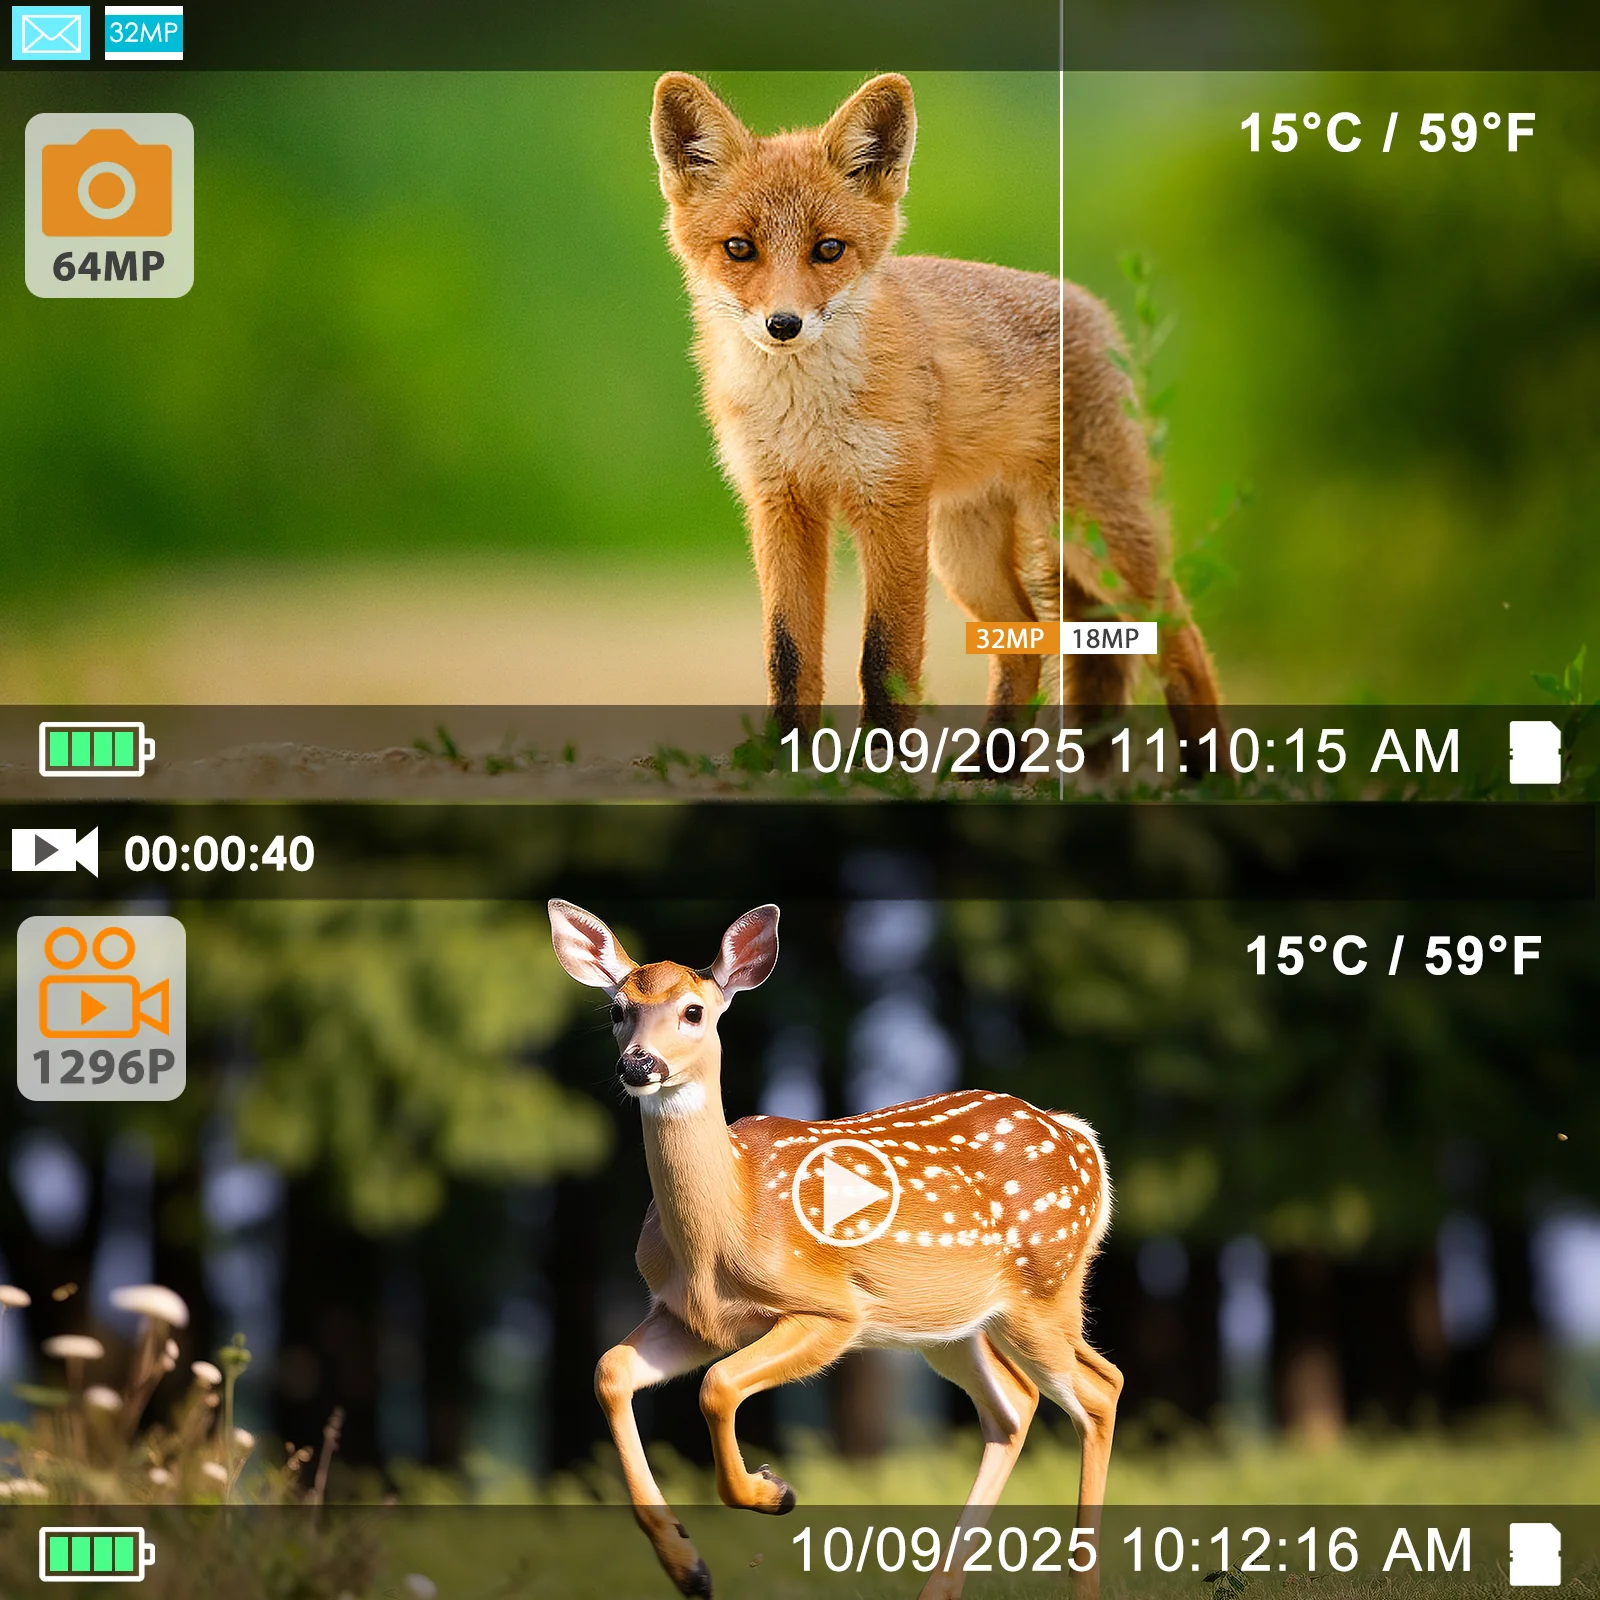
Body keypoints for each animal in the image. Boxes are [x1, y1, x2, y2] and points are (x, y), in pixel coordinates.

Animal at [548, 899, 1123, 1600]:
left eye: (693, 1011)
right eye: (616, 1010)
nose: (638, 1065)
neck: (726, 1228)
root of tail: (1081, 1138)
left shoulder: (834, 1310)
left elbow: (717, 1385)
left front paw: (774, 1492)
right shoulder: (692, 1318)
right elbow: (611, 1372)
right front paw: (689, 1567)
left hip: (1042, 1292)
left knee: (1099, 1390)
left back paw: (1080, 1586)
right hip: (947, 1325)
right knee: (1014, 1406)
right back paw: (938, 1591)